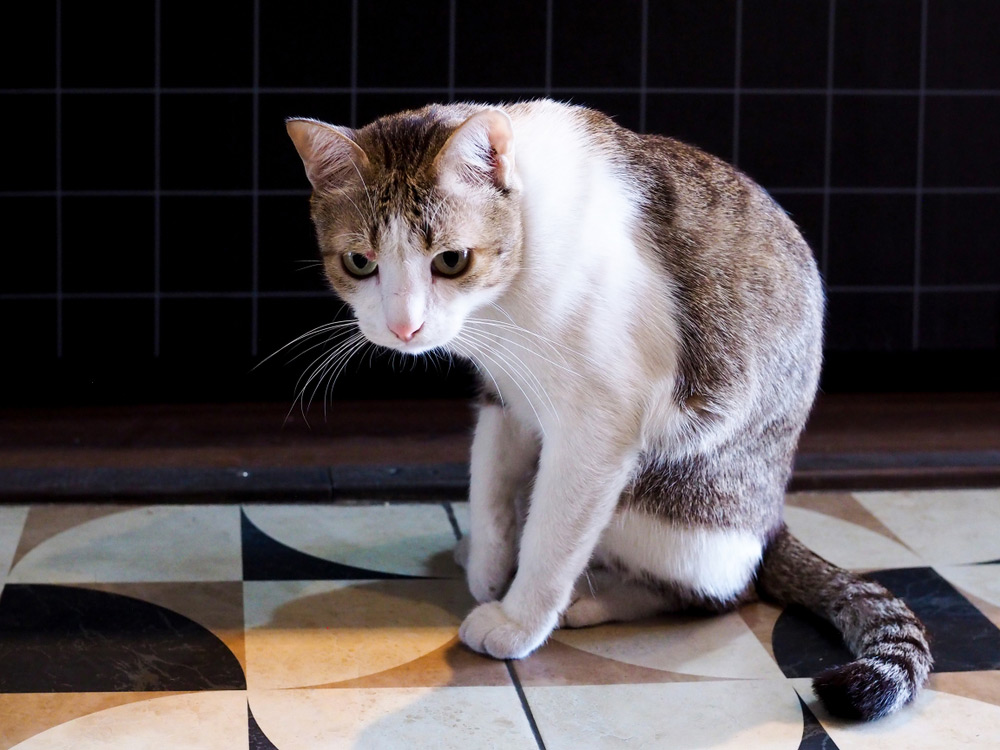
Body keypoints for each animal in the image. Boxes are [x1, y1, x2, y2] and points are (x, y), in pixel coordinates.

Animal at [286, 101, 932, 724]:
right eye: (359, 262)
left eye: (451, 260)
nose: (404, 327)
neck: (506, 299)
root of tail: (774, 521)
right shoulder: (505, 396)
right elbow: (489, 485)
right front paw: (489, 565)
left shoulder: (597, 425)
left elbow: (553, 537)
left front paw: (517, 620)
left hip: (669, 502)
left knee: (714, 589)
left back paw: (596, 598)